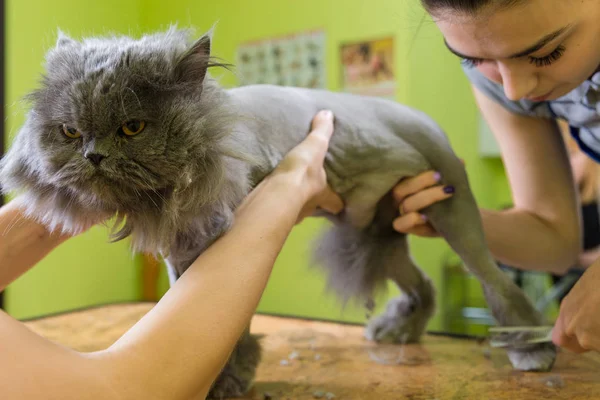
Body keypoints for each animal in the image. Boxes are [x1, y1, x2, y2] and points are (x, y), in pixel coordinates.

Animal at [0, 27, 556, 396]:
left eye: (132, 128)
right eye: (70, 132)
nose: (92, 156)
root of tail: (418, 119)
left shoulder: (219, 233)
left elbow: (232, 326)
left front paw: (229, 375)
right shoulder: (183, 250)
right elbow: (185, 300)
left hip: (452, 206)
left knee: (497, 283)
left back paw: (532, 349)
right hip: (381, 231)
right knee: (423, 285)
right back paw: (402, 332)